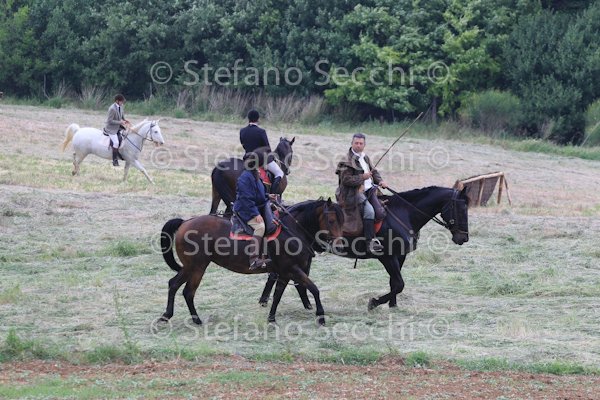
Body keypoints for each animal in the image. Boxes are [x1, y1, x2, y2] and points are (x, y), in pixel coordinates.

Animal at [159, 198, 344, 326]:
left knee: (174, 285)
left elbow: (277, 295)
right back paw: (194, 319)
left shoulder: (285, 273)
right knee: (187, 291)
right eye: (331, 220)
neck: (292, 230)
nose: (339, 244)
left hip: (191, 267)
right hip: (196, 267)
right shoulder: (293, 269)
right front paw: (321, 316)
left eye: (342, 221)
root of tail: (185, 222)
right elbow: (314, 288)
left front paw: (271, 318)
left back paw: (169, 315)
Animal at [259, 186, 470, 310]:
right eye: (460, 209)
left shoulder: (399, 256)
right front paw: (375, 302)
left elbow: (395, 283)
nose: (463, 238)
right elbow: (399, 284)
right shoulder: (387, 257)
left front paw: (392, 304)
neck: (403, 213)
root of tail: (285, 212)